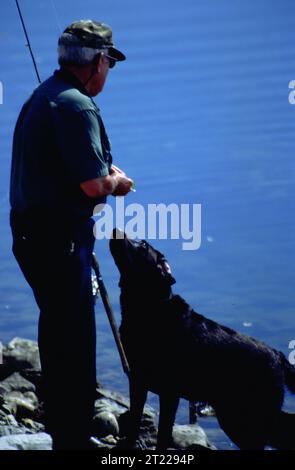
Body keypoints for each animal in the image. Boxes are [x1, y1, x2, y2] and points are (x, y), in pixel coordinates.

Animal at [110, 229, 295, 450]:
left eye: (143, 245)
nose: (116, 229)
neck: (150, 308)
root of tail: (279, 356)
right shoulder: (138, 382)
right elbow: (134, 423)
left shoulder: (169, 393)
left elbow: (163, 433)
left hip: (244, 417)